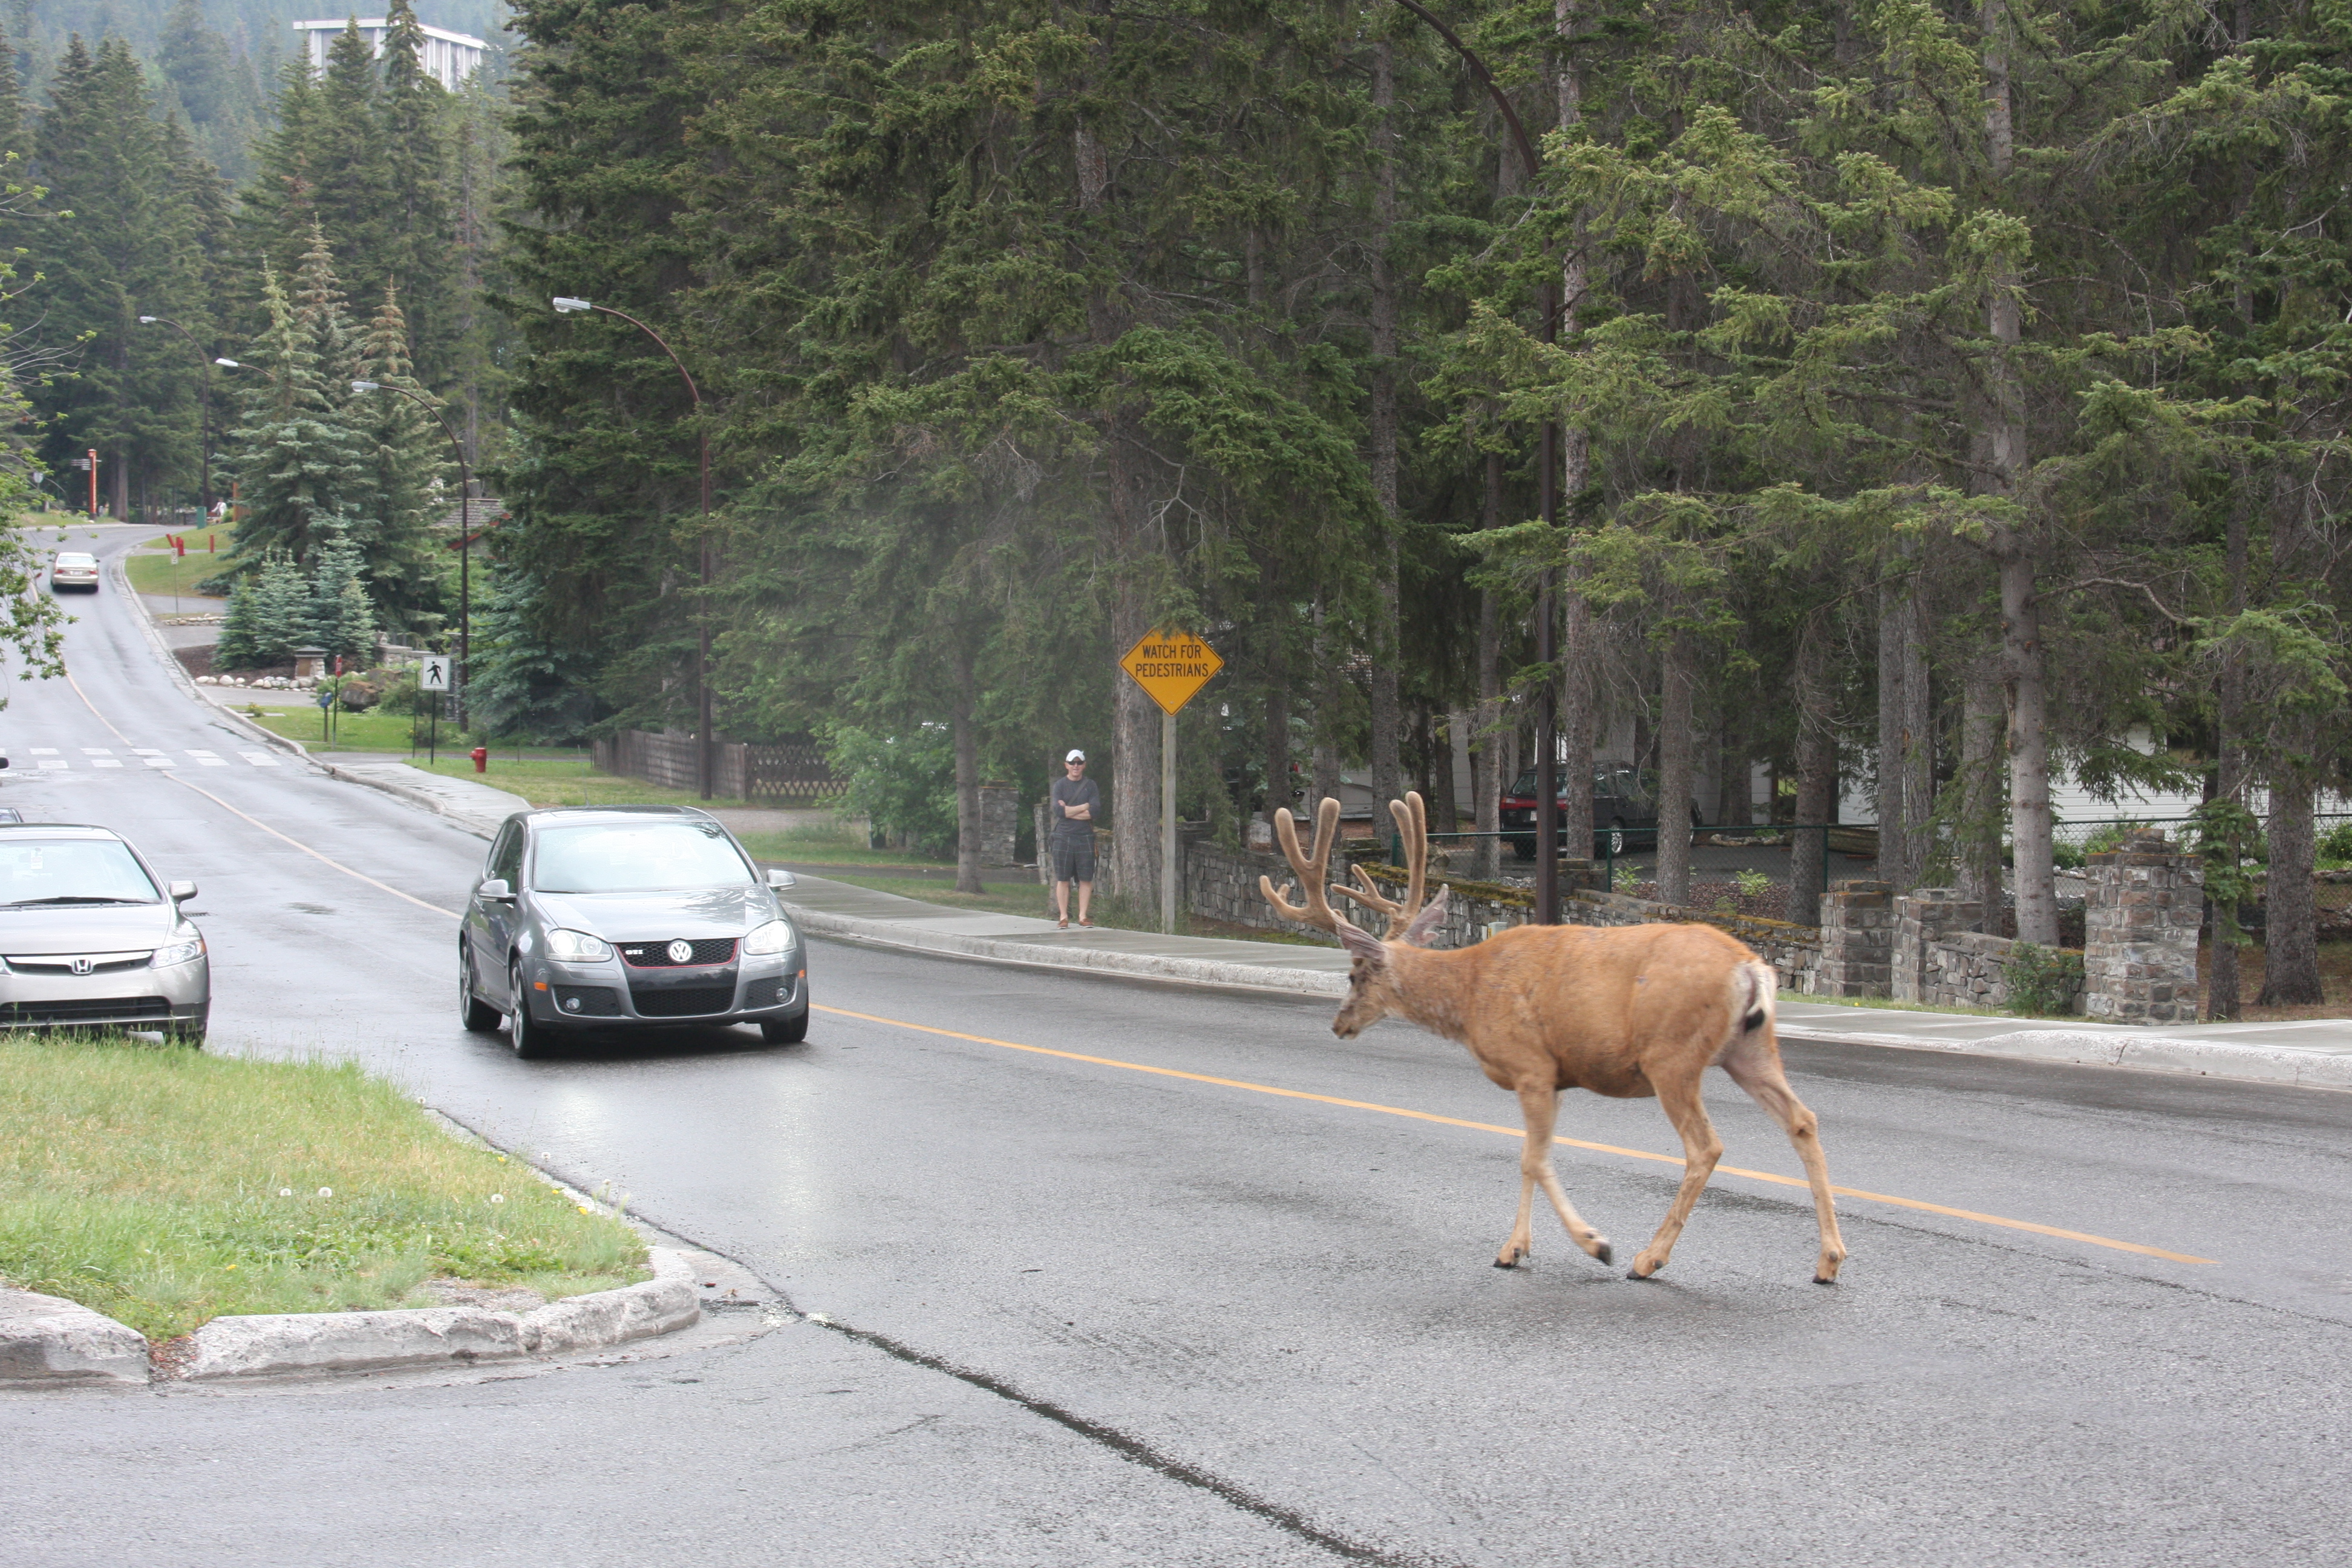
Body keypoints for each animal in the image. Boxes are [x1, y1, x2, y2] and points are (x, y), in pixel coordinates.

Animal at [1270, 789, 1834, 1279]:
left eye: (1354, 975)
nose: (1339, 1023)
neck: (1470, 994)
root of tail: (1750, 967)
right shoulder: (1555, 1076)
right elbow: (1530, 1158)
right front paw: (1514, 1249)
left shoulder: (1531, 1065)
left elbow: (1534, 1158)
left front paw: (1593, 1243)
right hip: (1751, 1049)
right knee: (1803, 1120)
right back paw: (1829, 1261)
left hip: (1672, 1057)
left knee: (1706, 1147)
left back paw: (1648, 1259)